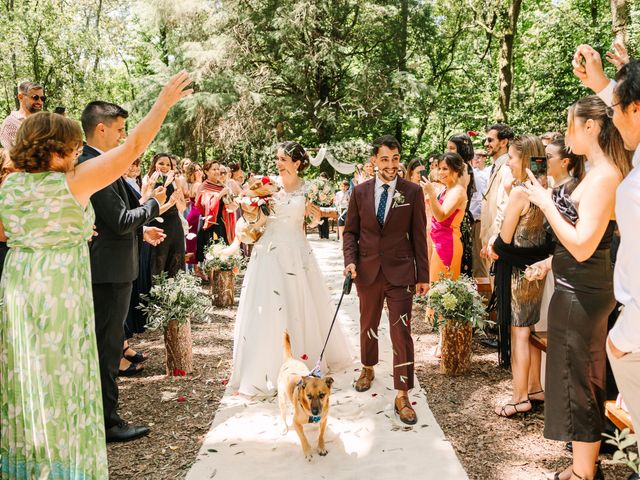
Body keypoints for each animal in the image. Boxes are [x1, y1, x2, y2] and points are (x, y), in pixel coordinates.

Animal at [278, 330, 336, 462]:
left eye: (322, 395)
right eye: (308, 396)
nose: (315, 412)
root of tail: (290, 360)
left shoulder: (324, 420)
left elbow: (321, 434)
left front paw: (321, 447)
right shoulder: (296, 423)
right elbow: (303, 438)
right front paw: (308, 451)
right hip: (282, 401)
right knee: (282, 415)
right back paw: (283, 428)